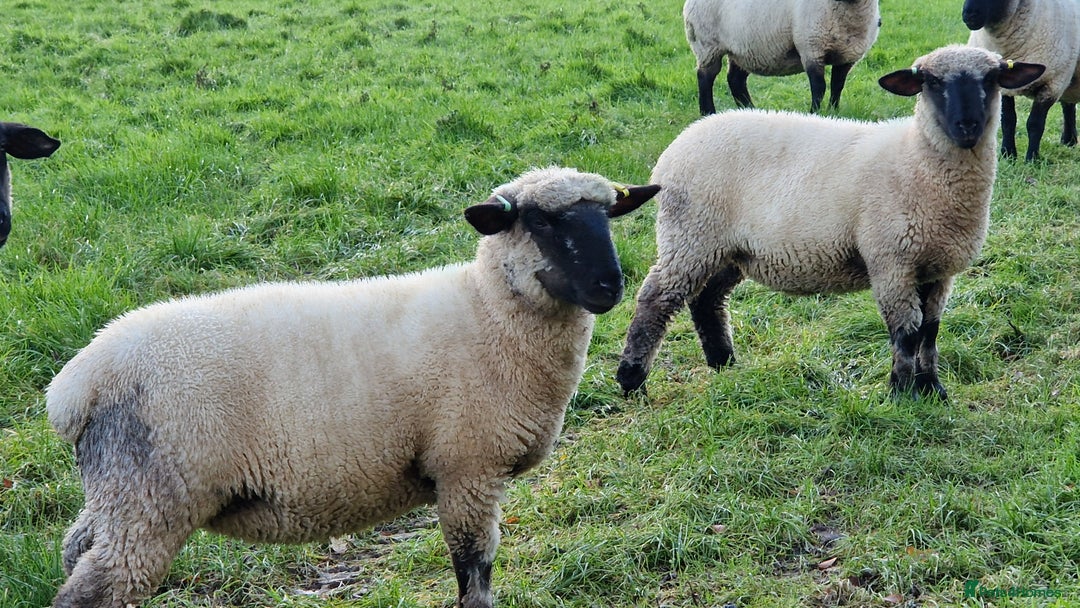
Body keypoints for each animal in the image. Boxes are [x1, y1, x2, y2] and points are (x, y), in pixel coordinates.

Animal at [46, 166, 660, 608]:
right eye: (541, 222)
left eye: (607, 215)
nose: (609, 285)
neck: (487, 314)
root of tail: (76, 385)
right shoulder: (468, 468)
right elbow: (474, 576)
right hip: (149, 500)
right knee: (88, 591)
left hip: (121, 491)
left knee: (76, 549)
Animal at [616, 45, 1044, 401]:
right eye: (932, 82)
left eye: (992, 79)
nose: (967, 126)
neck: (916, 161)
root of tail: (679, 145)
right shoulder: (891, 262)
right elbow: (906, 334)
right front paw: (901, 394)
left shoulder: (938, 269)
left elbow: (930, 331)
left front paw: (932, 389)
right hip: (691, 235)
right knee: (656, 297)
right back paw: (632, 379)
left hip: (729, 249)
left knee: (706, 300)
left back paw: (723, 363)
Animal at [684, 0, 882, 115]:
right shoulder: (811, 48)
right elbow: (819, 87)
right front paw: (814, 113)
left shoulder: (847, 56)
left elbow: (837, 86)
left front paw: (834, 111)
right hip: (707, 44)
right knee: (705, 77)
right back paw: (708, 112)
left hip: (743, 49)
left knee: (735, 80)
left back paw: (750, 110)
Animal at [964, 0, 1080, 161]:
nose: (968, 15)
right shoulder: (1004, 86)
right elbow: (1008, 121)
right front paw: (1008, 154)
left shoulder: (1052, 83)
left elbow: (1035, 124)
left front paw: (1032, 158)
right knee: (1068, 105)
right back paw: (1069, 141)